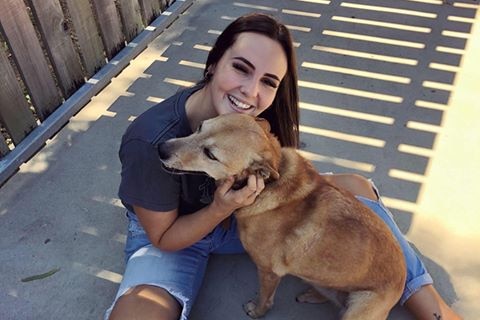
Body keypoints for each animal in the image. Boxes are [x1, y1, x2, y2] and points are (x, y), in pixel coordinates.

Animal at [158, 114, 404, 318]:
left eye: (210, 154)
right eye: (200, 126)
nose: (160, 148)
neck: (268, 183)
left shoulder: (268, 272)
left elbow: (265, 299)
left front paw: (257, 311)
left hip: (357, 309)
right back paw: (312, 294)